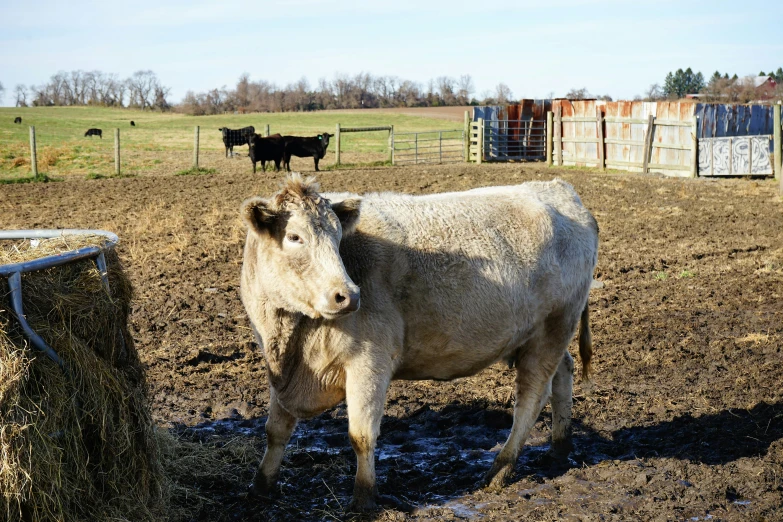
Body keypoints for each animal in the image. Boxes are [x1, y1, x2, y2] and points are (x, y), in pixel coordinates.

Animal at [240, 174, 600, 508]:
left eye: (338, 237)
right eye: (294, 236)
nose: (349, 295)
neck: (290, 337)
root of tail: (558, 188)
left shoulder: (369, 363)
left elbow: (361, 436)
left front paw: (364, 498)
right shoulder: (280, 371)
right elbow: (275, 430)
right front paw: (260, 486)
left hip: (553, 330)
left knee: (532, 397)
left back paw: (500, 469)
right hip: (543, 335)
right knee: (563, 372)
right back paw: (559, 447)